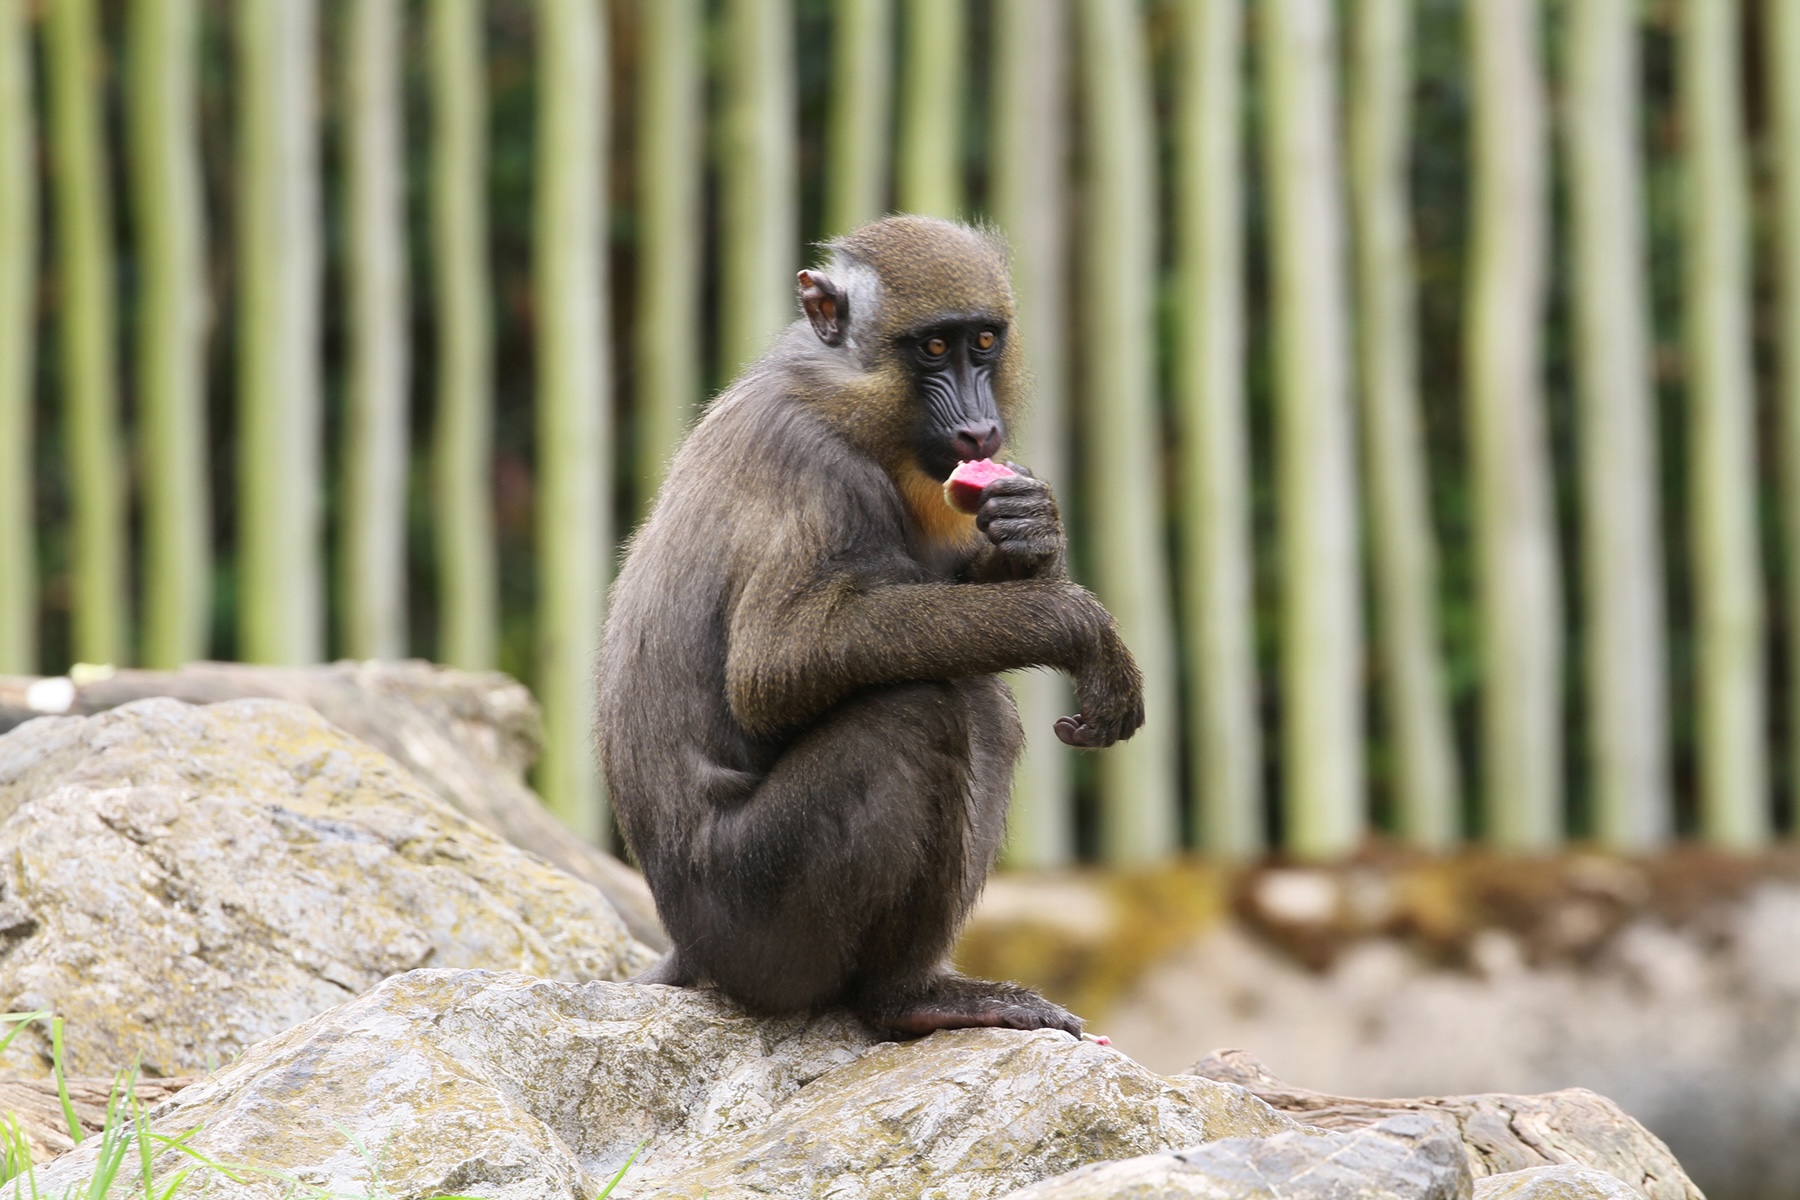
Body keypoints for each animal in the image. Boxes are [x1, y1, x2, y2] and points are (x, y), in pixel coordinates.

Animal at [597, 215, 1144, 1037]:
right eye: (933, 348)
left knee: (980, 701)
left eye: (984, 341)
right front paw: (1077, 625)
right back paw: (905, 997)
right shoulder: (813, 471)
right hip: (758, 916)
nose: (979, 428)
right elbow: (776, 662)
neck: (844, 394)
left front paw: (1032, 530)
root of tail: (688, 948)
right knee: (915, 707)